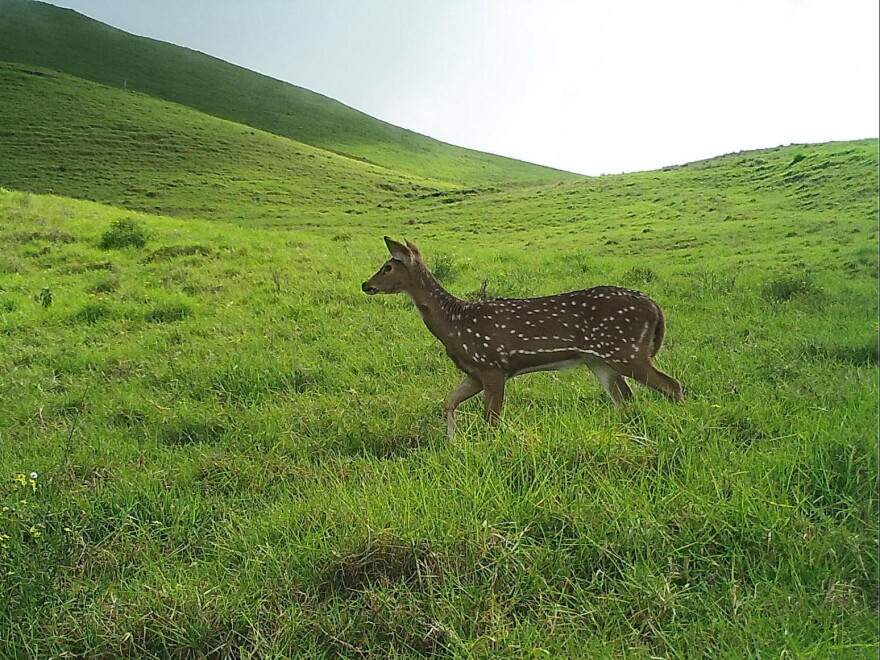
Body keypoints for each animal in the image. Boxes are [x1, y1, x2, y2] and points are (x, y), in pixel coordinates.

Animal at [362, 237, 684, 437]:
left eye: (387, 267)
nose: (366, 284)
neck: (454, 323)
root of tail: (655, 307)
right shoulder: (475, 371)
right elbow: (449, 402)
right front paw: (453, 442)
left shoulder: (493, 364)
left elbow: (491, 420)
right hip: (600, 360)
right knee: (626, 399)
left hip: (626, 349)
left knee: (671, 385)